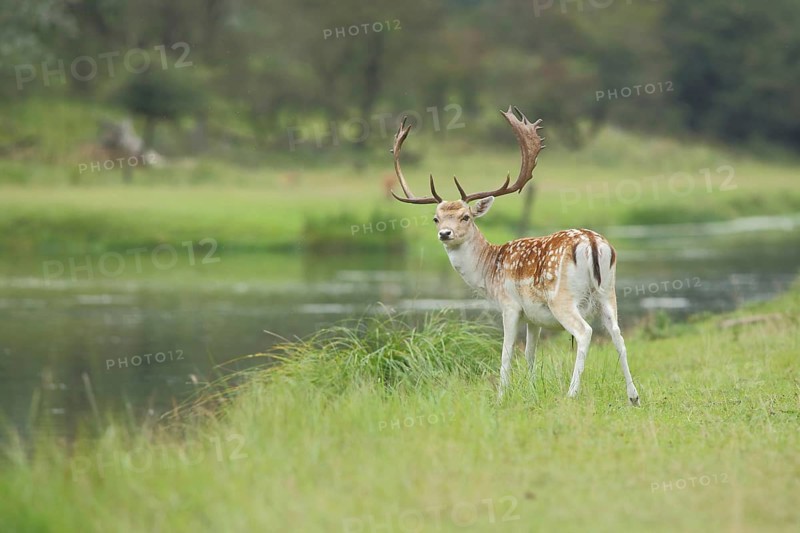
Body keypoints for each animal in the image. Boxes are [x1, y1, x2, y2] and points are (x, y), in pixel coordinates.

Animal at [388, 106, 640, 405]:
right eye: (436, 218)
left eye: (465, 217)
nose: (445, 234)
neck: (489, 271)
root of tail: (591, 243)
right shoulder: (534, 317)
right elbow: (530, 353)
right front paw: (531, 390)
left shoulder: (510, 306)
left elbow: (507, 352)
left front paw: (500, 395)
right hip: (608, 294)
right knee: (618, 336)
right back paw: (633, 396)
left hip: (563, 298)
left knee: (584, 332)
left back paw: (571, 393)